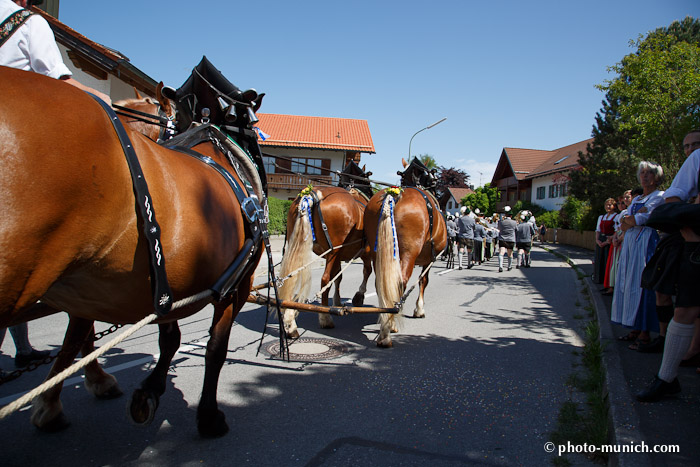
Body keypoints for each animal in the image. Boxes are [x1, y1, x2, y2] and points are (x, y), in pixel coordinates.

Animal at [0, 66, 266, 438]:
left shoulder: (166, 285)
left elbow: (165, 338)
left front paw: (143, 390)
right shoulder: (235, 287)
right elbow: (215, 347)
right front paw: (209, 415)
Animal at [278, 165, 374, 340]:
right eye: (367, 180)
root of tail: (311, 194)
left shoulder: (339, 256)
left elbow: (339, 277)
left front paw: (337, 301)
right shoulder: (365, 252)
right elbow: (366, 271)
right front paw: (358, 296)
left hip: (298, 247)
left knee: (291, 278)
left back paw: (290, 323)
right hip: (332, 251)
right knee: (325, 279)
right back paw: (325, 317)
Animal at [364, 160, 446, 348]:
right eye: (433, 177)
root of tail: (393, 196)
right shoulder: (429, 260)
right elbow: (423, 280)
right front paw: (419, 309)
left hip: (378, 252)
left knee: (382, 283)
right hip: (408, 253)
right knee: (399, 282)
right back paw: (388, 330)